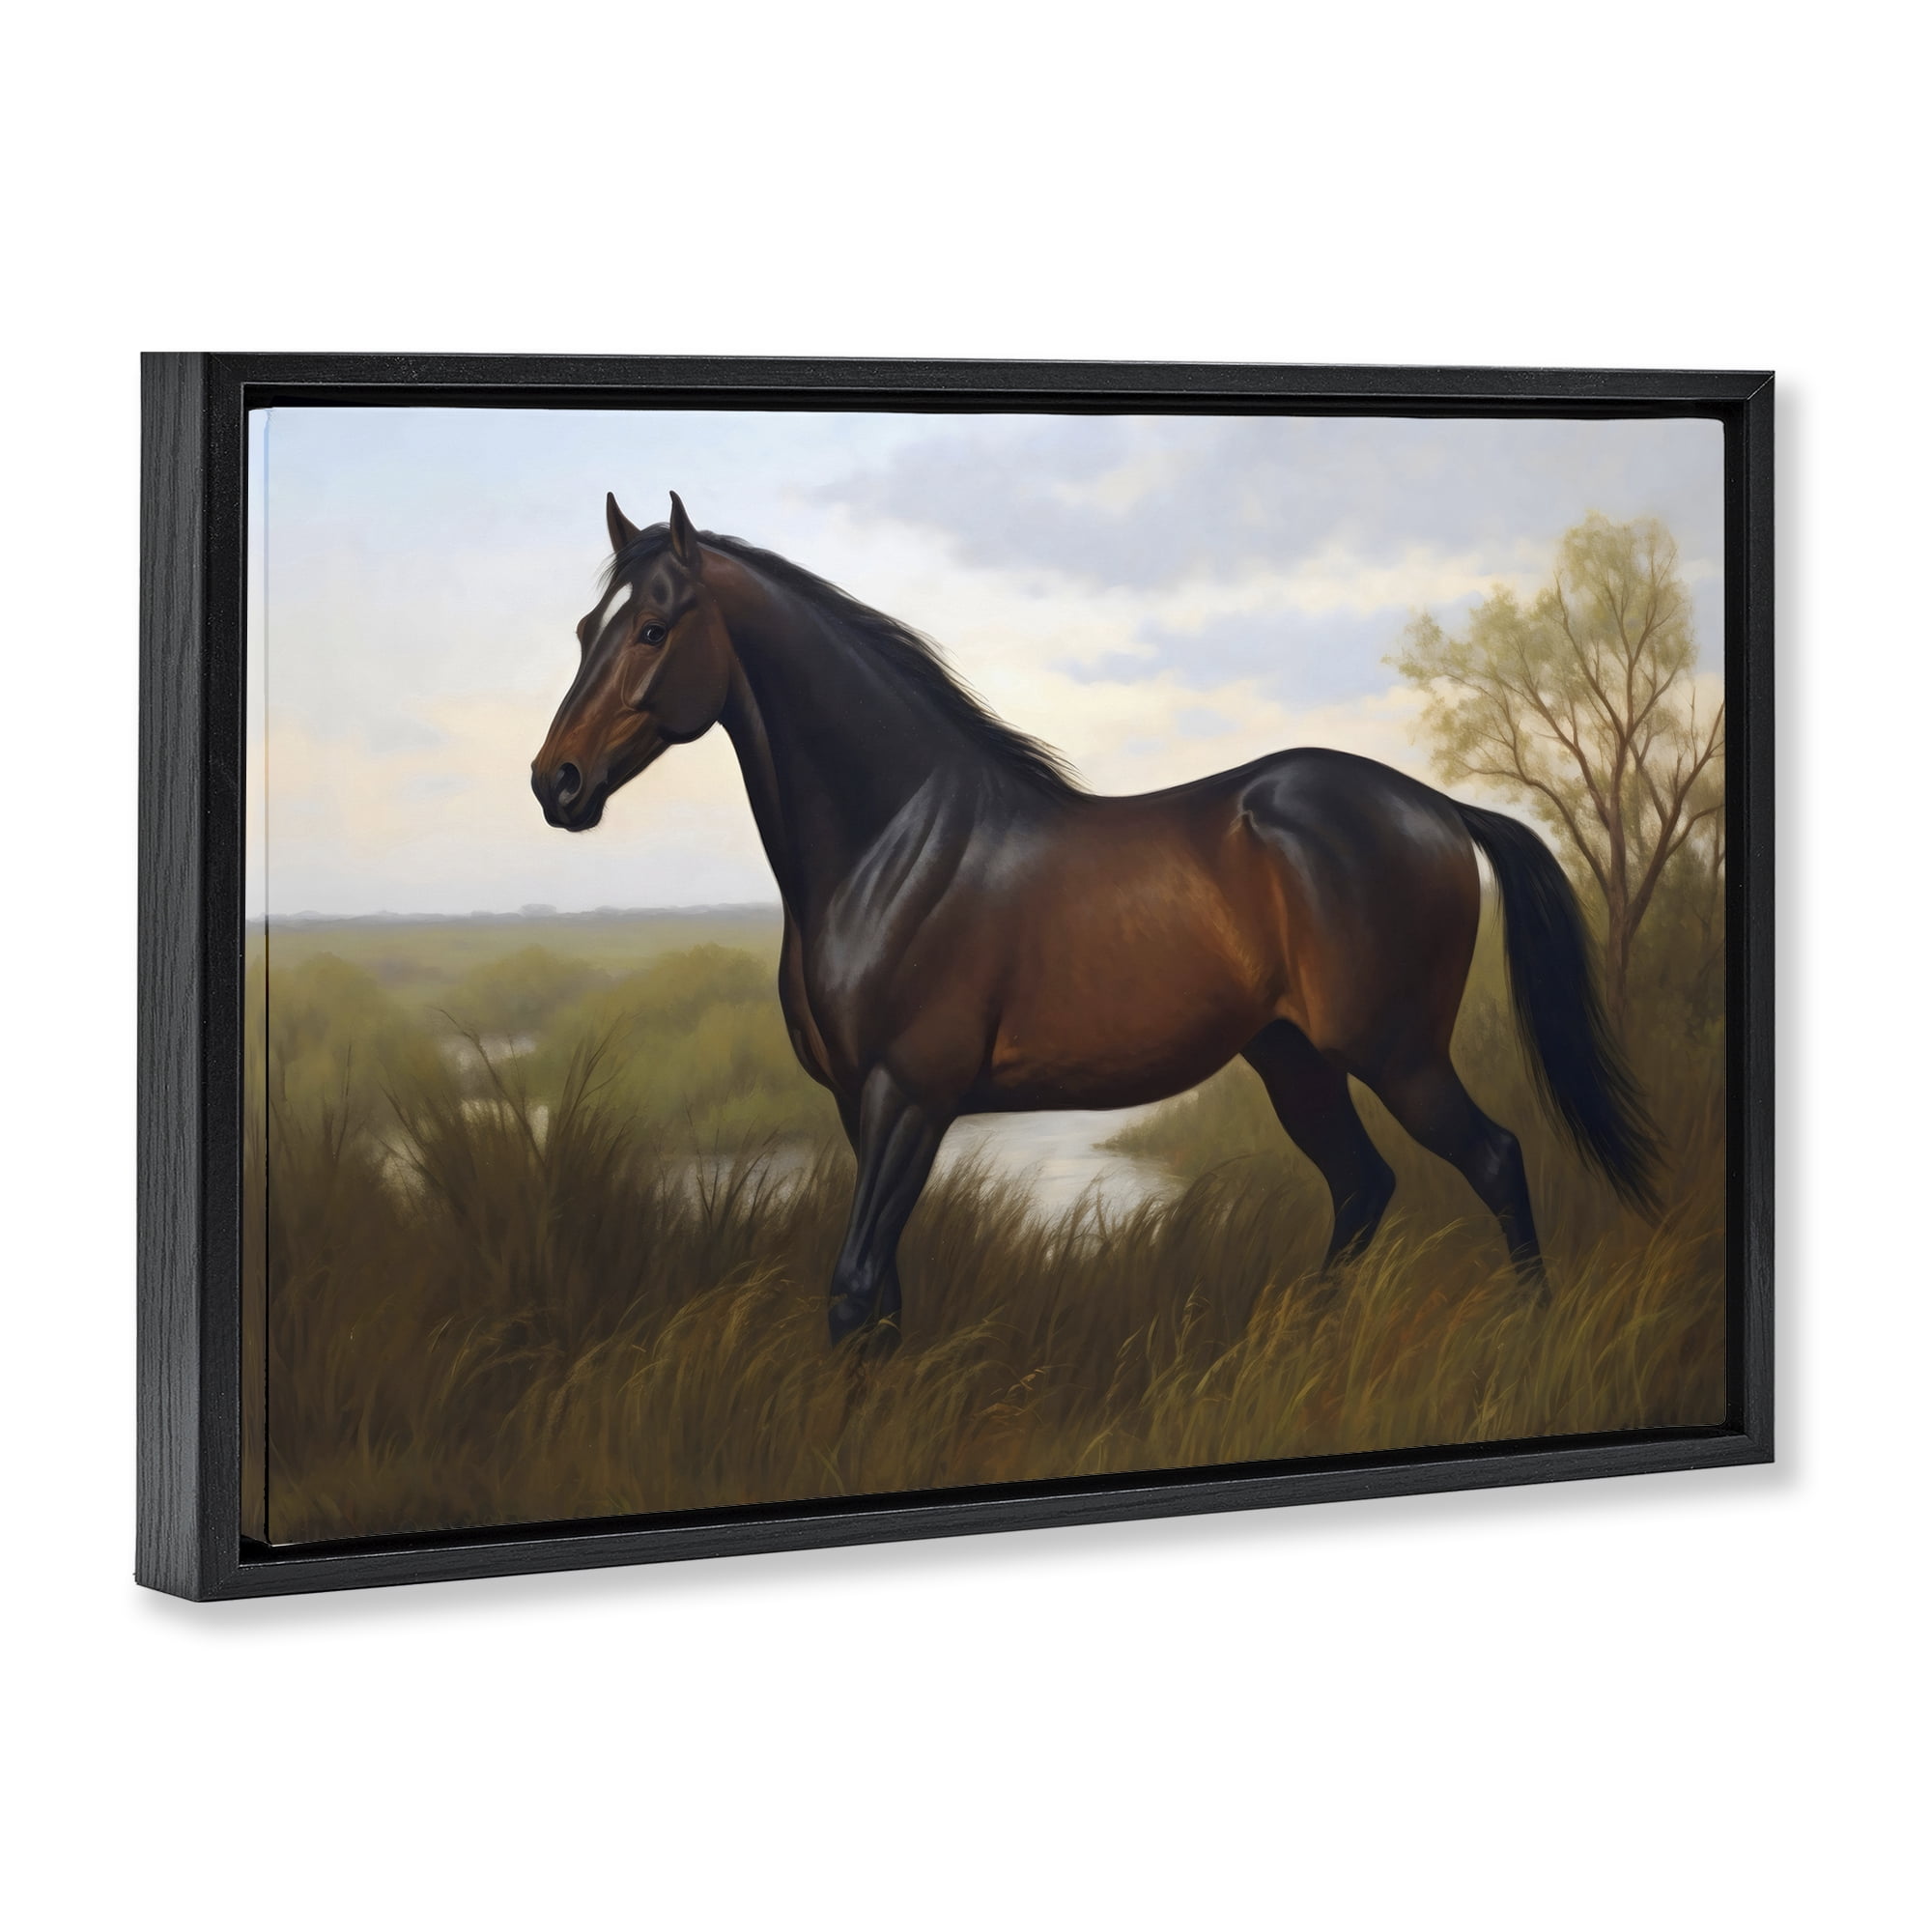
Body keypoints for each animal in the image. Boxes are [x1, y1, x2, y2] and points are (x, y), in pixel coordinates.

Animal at [533, 492, 1662, 1349]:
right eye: (586, 630)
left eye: (652, 628)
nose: (557, 782)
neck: (893, 845)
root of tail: (1434, 806)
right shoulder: (861, 1104)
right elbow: (882, 1297)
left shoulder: (910, 1097)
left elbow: (853, 1290)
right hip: (1292, 1058)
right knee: (1361, 1187)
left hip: (1396, 1051)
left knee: (1493, 1160)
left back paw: (1529, 1337)